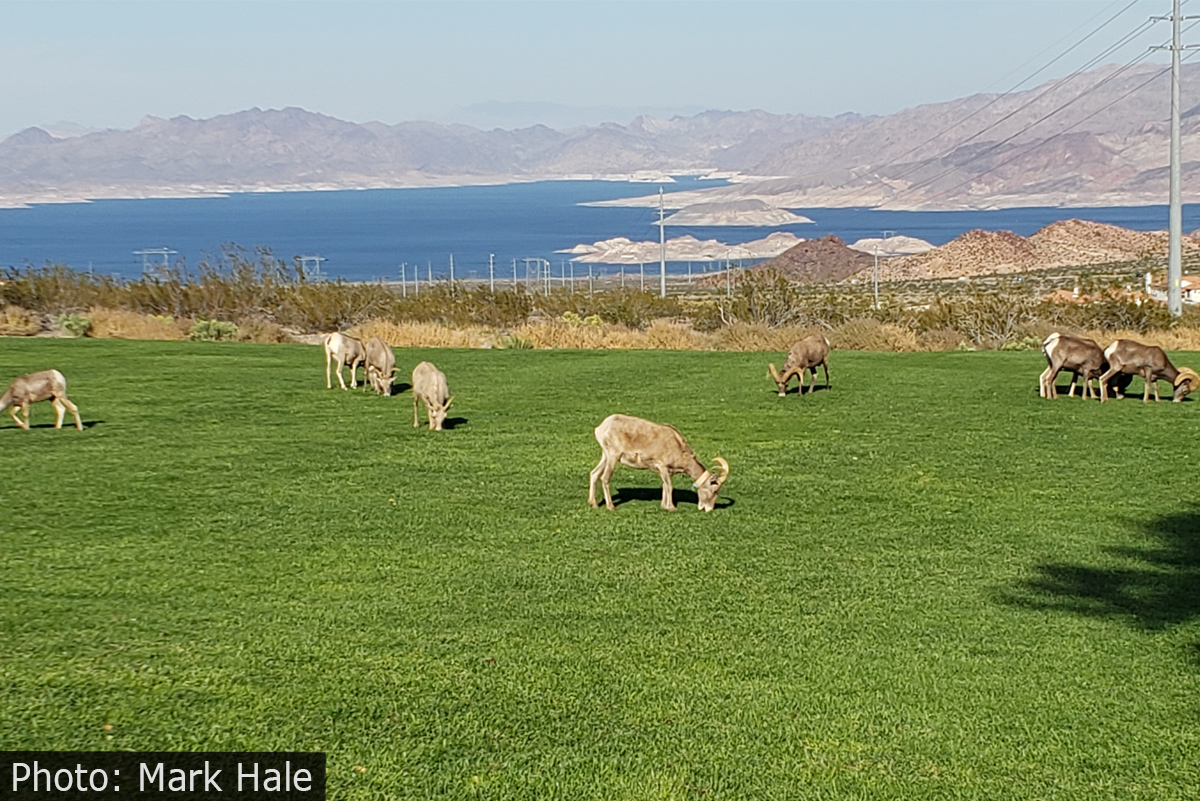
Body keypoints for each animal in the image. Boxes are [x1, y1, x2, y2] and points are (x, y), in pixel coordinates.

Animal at [588, 413, 730, 512]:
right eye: (715, 490)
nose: (708, 509)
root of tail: (600, 428)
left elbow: (664, 485)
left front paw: (664, 506)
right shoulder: (663, 466)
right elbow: (669, 486)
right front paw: (671, 507)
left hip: (605, 456)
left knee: (594, 473)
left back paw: (593, 504)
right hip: (613, 456)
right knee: (605, 478)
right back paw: (611, 507)